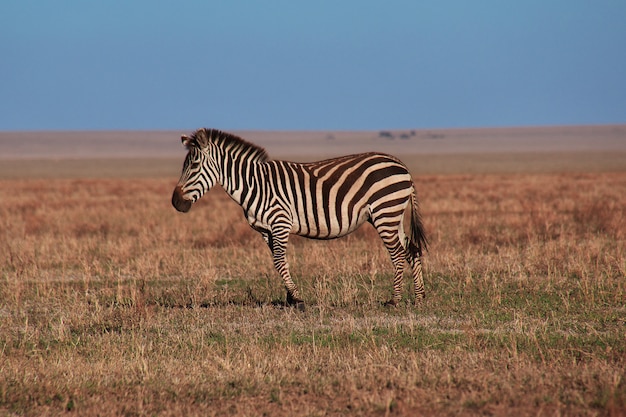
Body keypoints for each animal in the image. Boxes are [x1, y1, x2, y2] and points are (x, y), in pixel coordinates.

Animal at [171, 128, 424, 308]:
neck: (254, 185)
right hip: (392, 215)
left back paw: (394, 300)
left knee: (398, 254)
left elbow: (279, 261)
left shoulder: (280, 222)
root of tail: (402, 165)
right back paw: (420, 298)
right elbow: (279, 262)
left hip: (385, 212)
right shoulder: (266, 230)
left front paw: (297, 298)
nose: (176, 203)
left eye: (194, 165)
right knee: (412, 249)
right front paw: (290, 299)